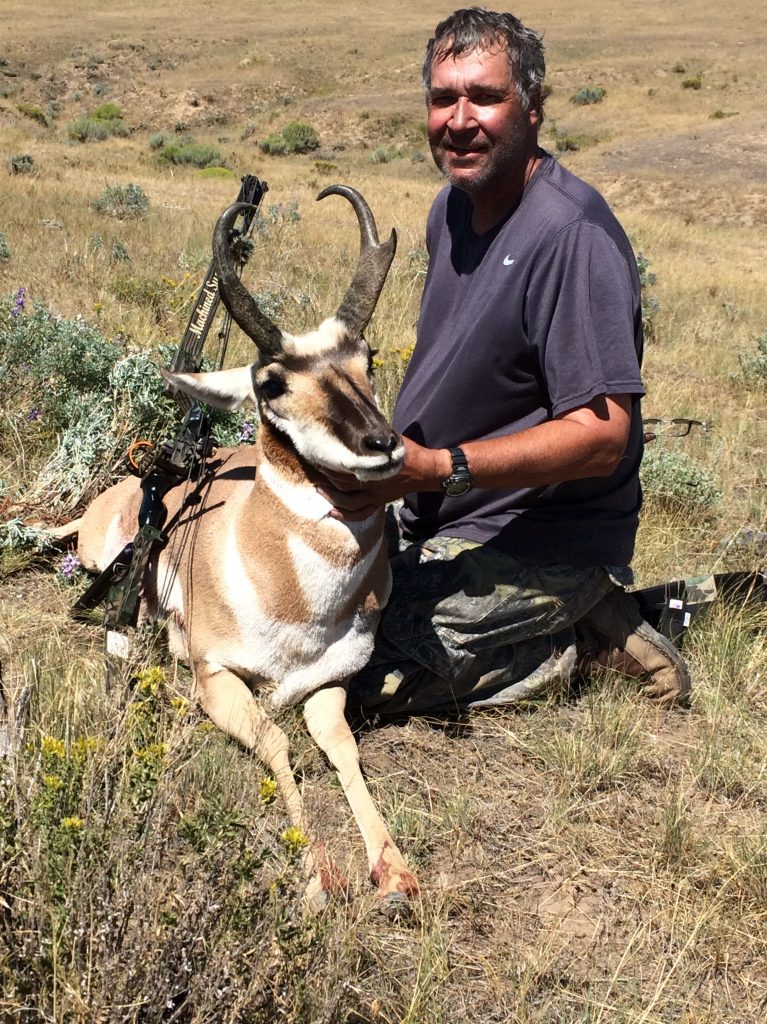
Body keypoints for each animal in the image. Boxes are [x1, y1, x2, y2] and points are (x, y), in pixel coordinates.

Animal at [74, 186, 419, 908]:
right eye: (271, 384)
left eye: (368, 359)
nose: (381, 444)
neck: (299, 607)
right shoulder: (217, 679)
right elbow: (275, 742)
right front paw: (316, 873)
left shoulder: (329, 684)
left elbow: (341, 747)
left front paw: (394, 869)